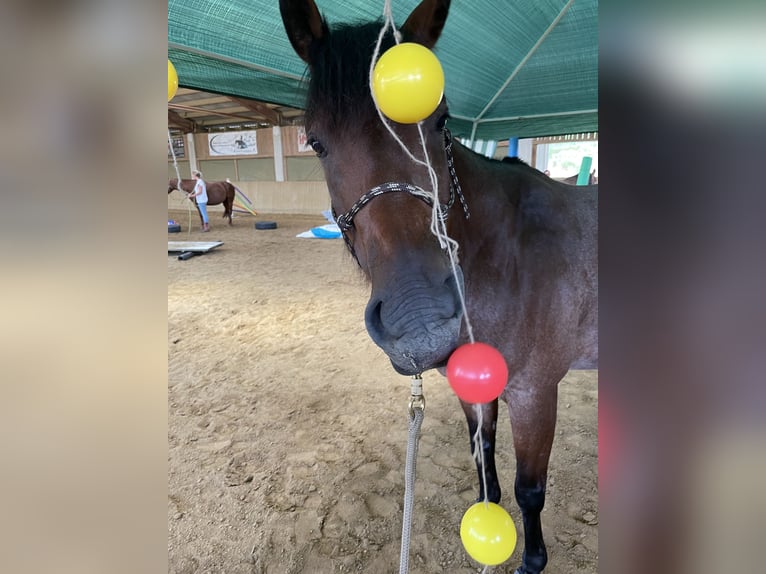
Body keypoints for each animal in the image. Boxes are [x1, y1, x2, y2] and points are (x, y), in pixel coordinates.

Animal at [279, 1, 597, 572]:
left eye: (441, 120)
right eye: (315, 141)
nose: (420, 320)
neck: (508, 251)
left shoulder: (537, 392)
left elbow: (530, 489)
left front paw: (532, 560)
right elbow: (485, 457)